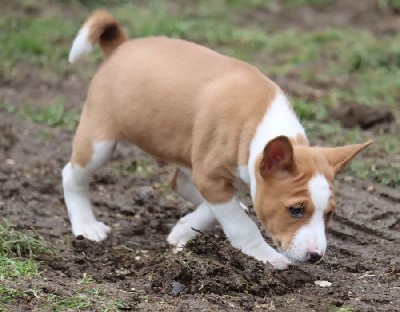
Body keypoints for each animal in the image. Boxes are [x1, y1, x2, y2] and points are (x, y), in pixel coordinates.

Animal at [62, 11, 372, 270]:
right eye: (296, 210)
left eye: (329, 214)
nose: (315, 256)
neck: (257, 123)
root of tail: (120, 47)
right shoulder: (211, 176)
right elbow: (239, 223)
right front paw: (265, 255)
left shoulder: (219, 174)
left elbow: (223, 208)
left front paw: (185, 228)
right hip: (99, 142)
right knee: (71, 175)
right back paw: (86, 226)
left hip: (183, 147)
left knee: (179, 182)